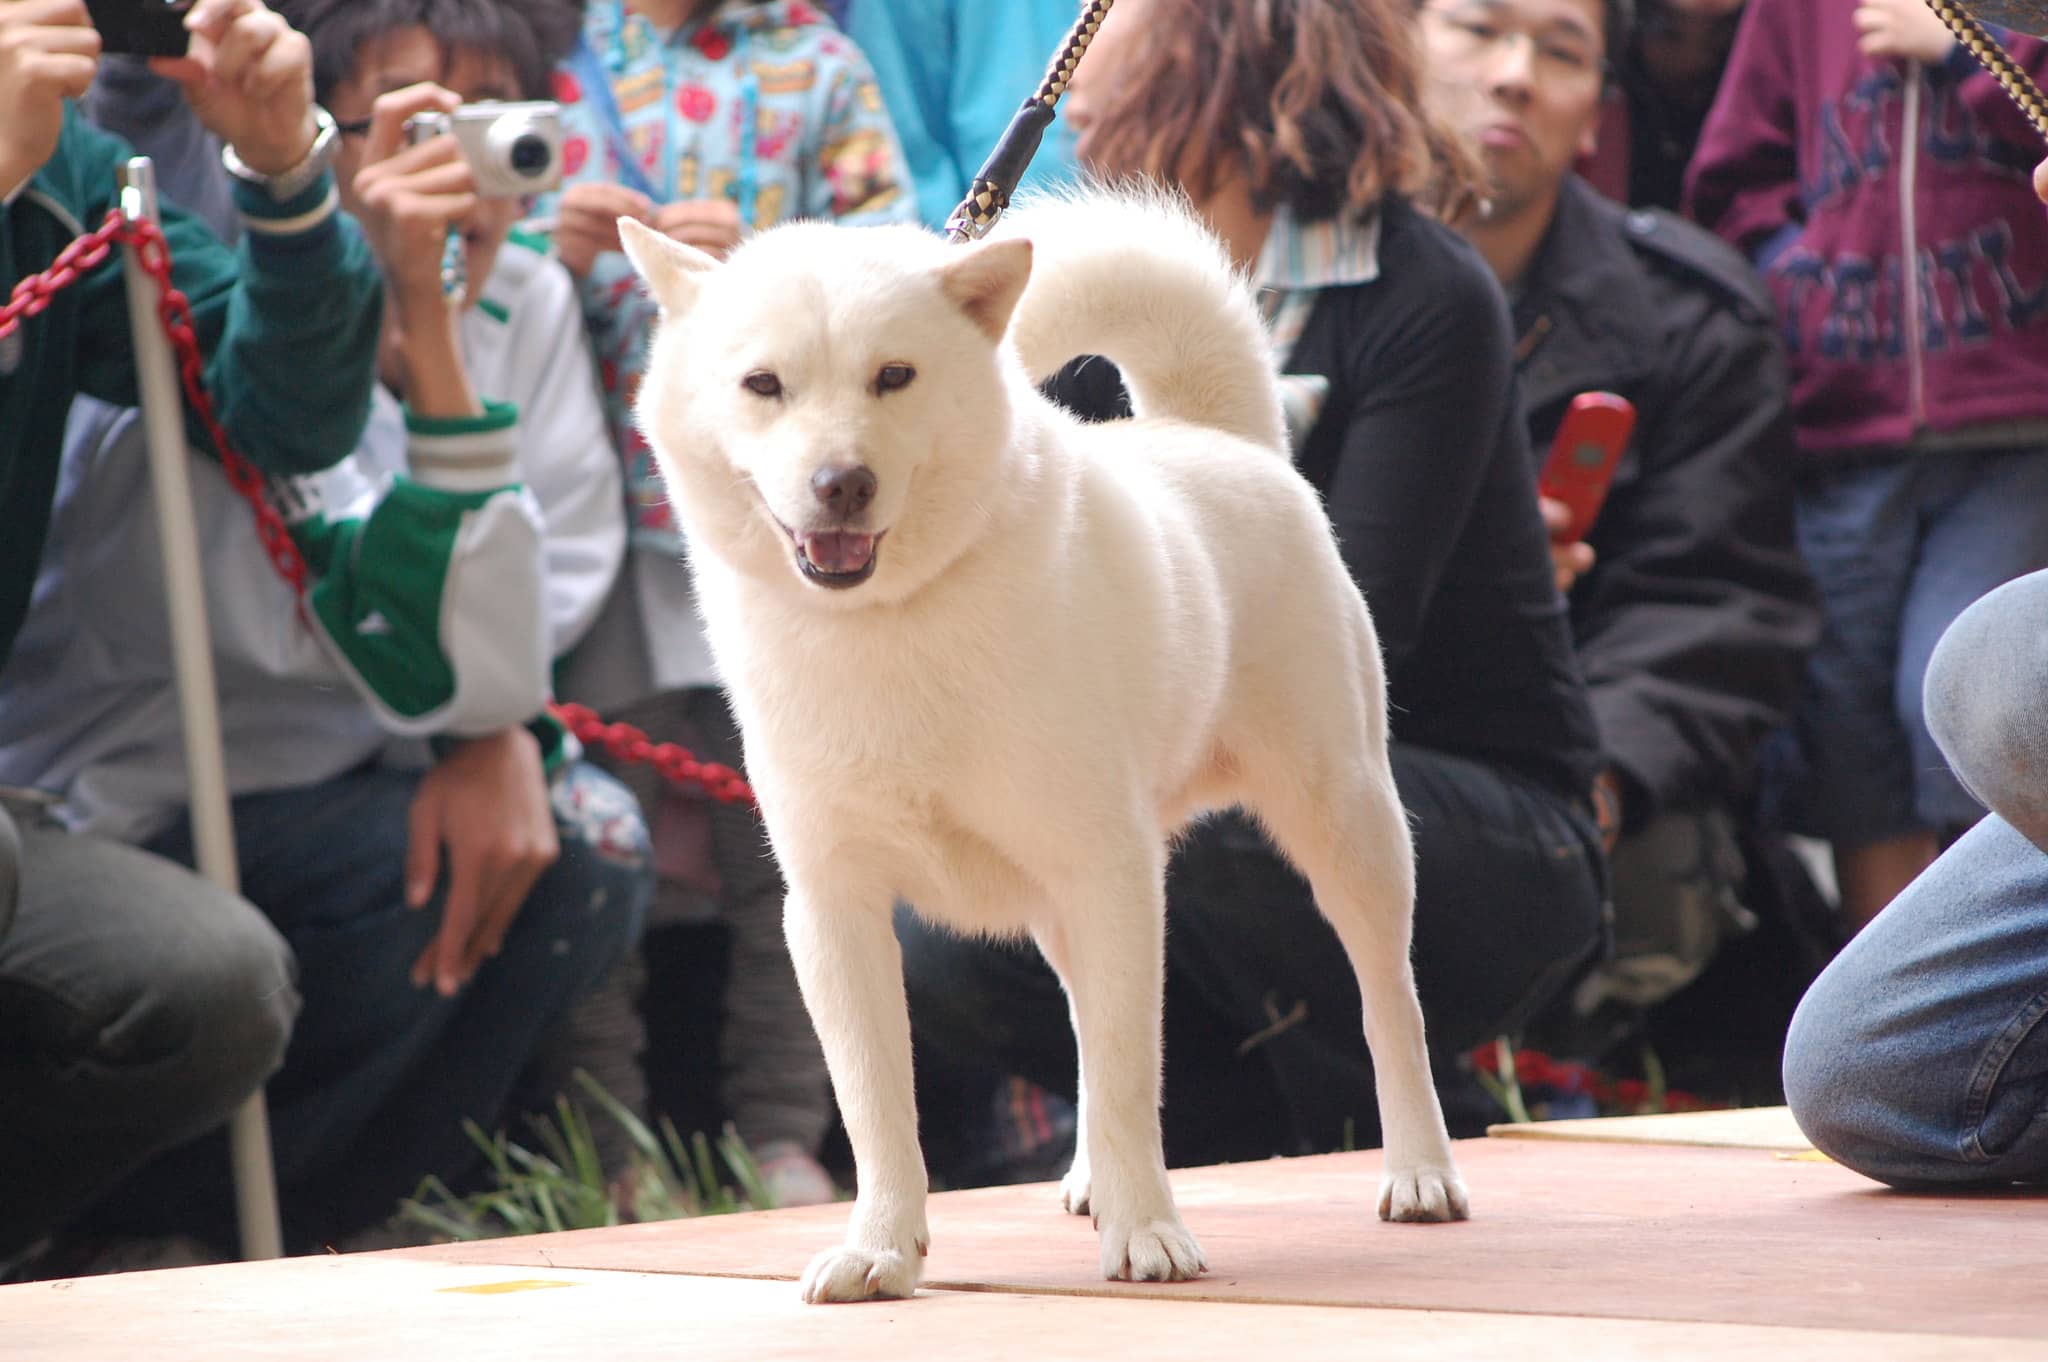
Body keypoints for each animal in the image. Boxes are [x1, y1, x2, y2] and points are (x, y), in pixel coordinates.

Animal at [614, 186, 1466, 1302]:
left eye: (894, 376)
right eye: (762, 384)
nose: (841, 482)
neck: (892, 625)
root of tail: (1215, 433)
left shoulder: (1110, 874)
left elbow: (1128, 1076)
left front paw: (1149, 1237)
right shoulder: (835, 907)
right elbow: (880, 1106)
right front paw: (881, 1251)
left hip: (1343, 824)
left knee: (1388, 1004)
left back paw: (1418, 1172)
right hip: (1064, 904)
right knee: (1081, 1028)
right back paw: (1091, 1182)